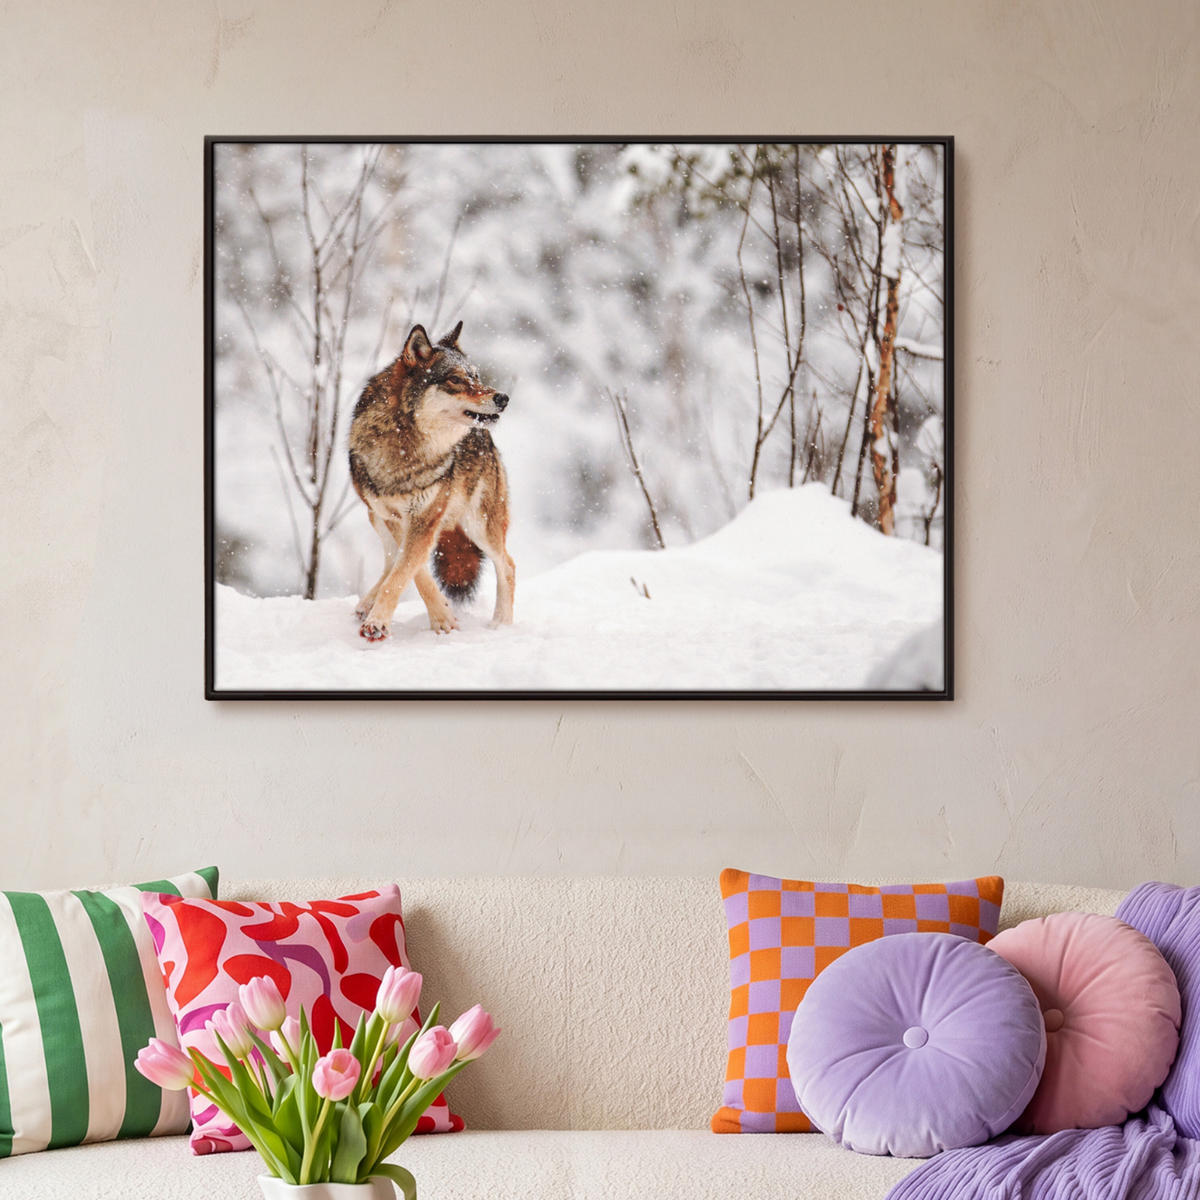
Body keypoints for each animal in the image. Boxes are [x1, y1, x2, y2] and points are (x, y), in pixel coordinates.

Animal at [348, 322, 515, 642]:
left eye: (476, 377)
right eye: (455, 379)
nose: (503, 398)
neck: (406, 446)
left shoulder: (425, 518)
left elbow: (404, 572)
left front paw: (380, 623)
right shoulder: (396, 518)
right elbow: (411, 571)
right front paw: (442, 616)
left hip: (479, 525)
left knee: (508, 565)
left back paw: (502, 625)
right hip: (375, 516)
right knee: (390, 560)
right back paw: (366, 603)